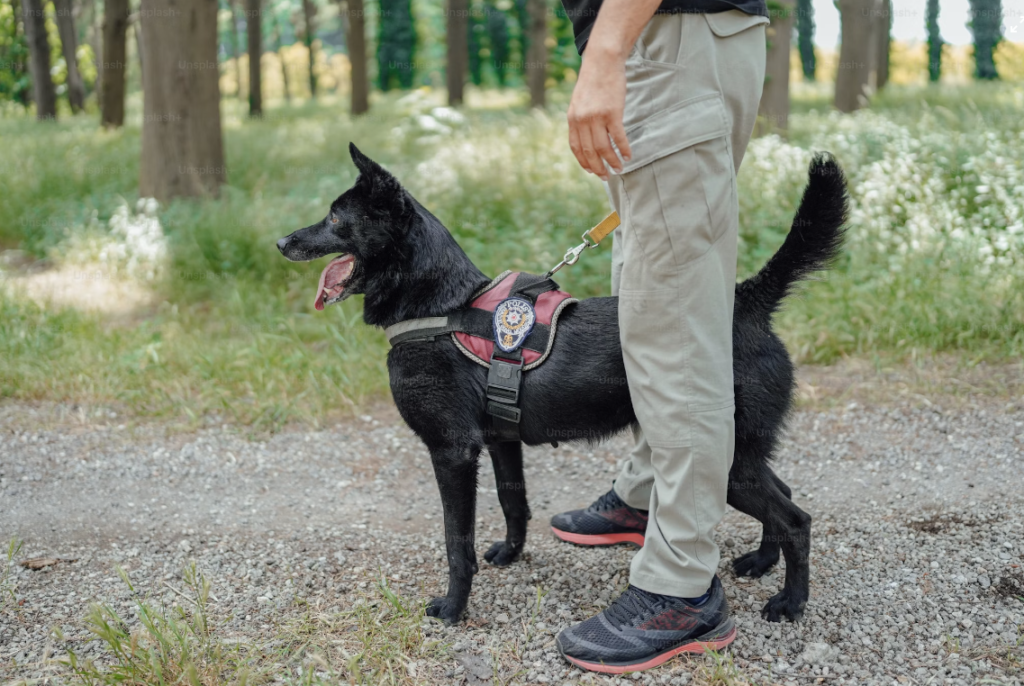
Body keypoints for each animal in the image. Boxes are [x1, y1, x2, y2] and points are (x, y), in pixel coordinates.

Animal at [278, 145, 847, 630]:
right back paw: (760, 562)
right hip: (744, 454)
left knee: (797, 518)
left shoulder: (452, 453)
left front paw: (454, 608)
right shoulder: (500, 443)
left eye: (336, 218)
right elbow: (514, 503)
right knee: (784, 496)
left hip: (725, 461)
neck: (443, 307)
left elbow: (456, 541)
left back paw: (791, 602)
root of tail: (747, 300)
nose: (281, 242)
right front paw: (511, 554)